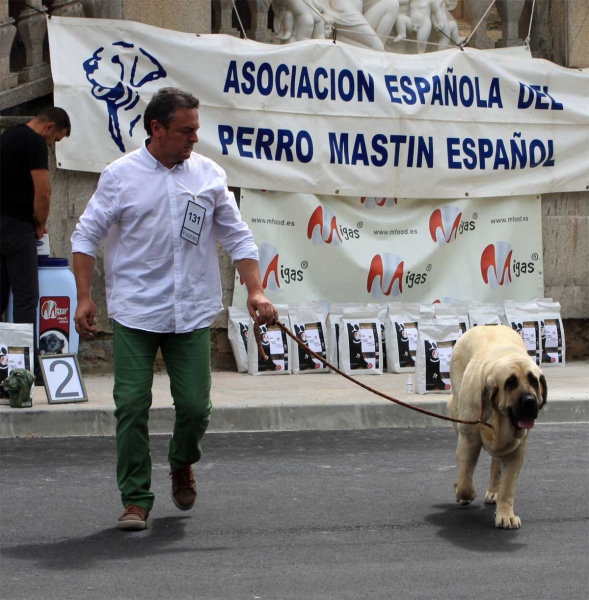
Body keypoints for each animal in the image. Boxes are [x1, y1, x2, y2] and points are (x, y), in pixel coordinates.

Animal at [450, 326, 548, 528]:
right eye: (510, 382)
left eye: (534, 381)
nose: (530, 401)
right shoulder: (468, 440)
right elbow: (464, 481)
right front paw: (463, 494)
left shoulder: (517, 452)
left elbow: (507, 487)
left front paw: (505, 514)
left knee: (496, 463)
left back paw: (494, 490)